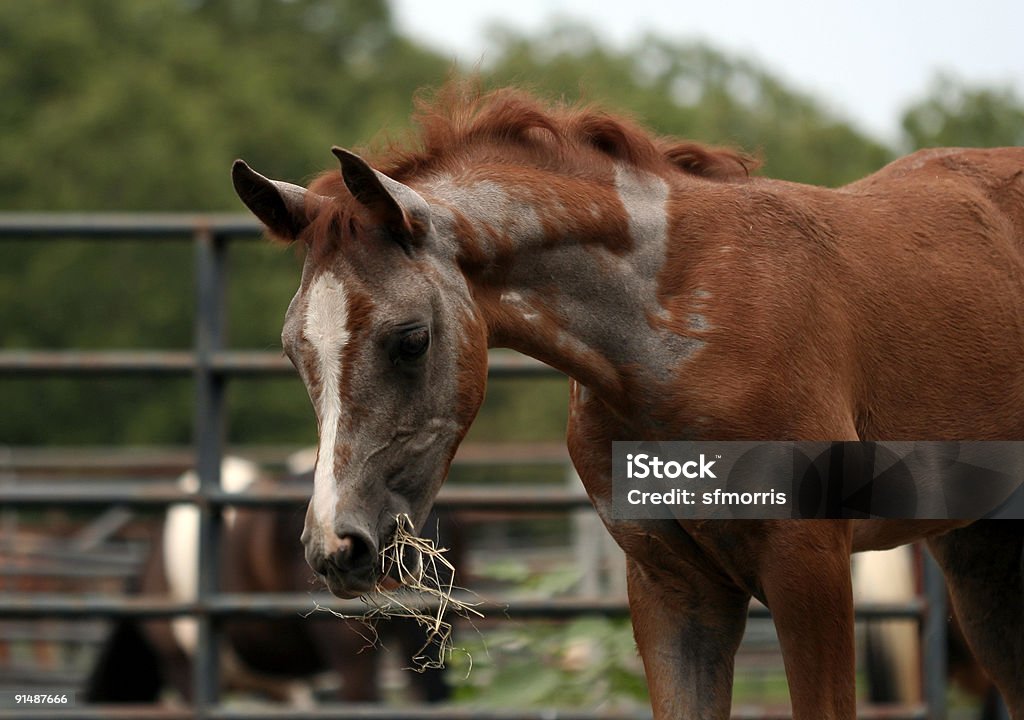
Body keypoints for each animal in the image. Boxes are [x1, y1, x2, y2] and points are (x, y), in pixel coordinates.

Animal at [232, 81, 1024, 716]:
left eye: (410, 339)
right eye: (293, 350)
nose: (335, 546)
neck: (682, 324)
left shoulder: (811, 567)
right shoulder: (672, 588)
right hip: (979, 550)